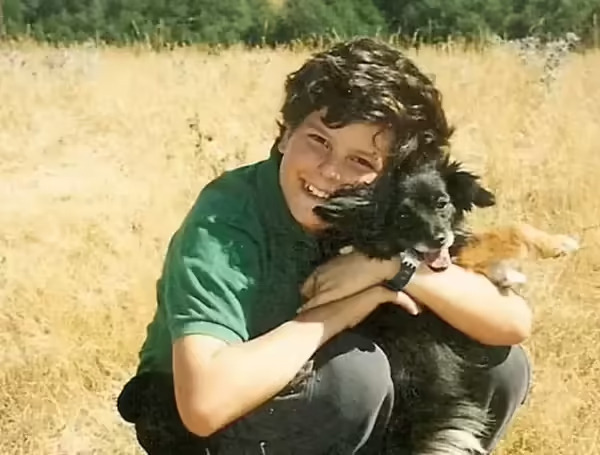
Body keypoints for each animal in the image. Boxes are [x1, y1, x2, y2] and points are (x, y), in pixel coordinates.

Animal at [312, 153, 579, 455]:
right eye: (403, 215)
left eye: (442, 203)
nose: (438, 238)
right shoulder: (459, 260)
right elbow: (508, 231)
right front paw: (558, 244)